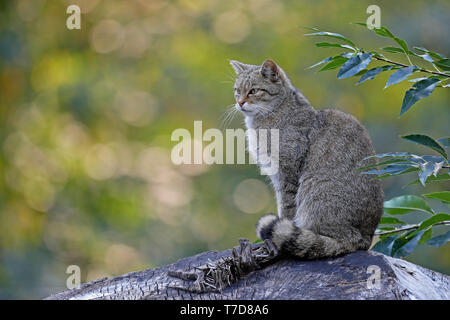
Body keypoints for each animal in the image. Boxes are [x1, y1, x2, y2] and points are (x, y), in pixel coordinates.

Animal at [232, 58, 384, 258]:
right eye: (237, 90)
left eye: (253, 91)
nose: (240, 102)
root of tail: (365, 237)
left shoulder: (287, 174)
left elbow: (286, 209)